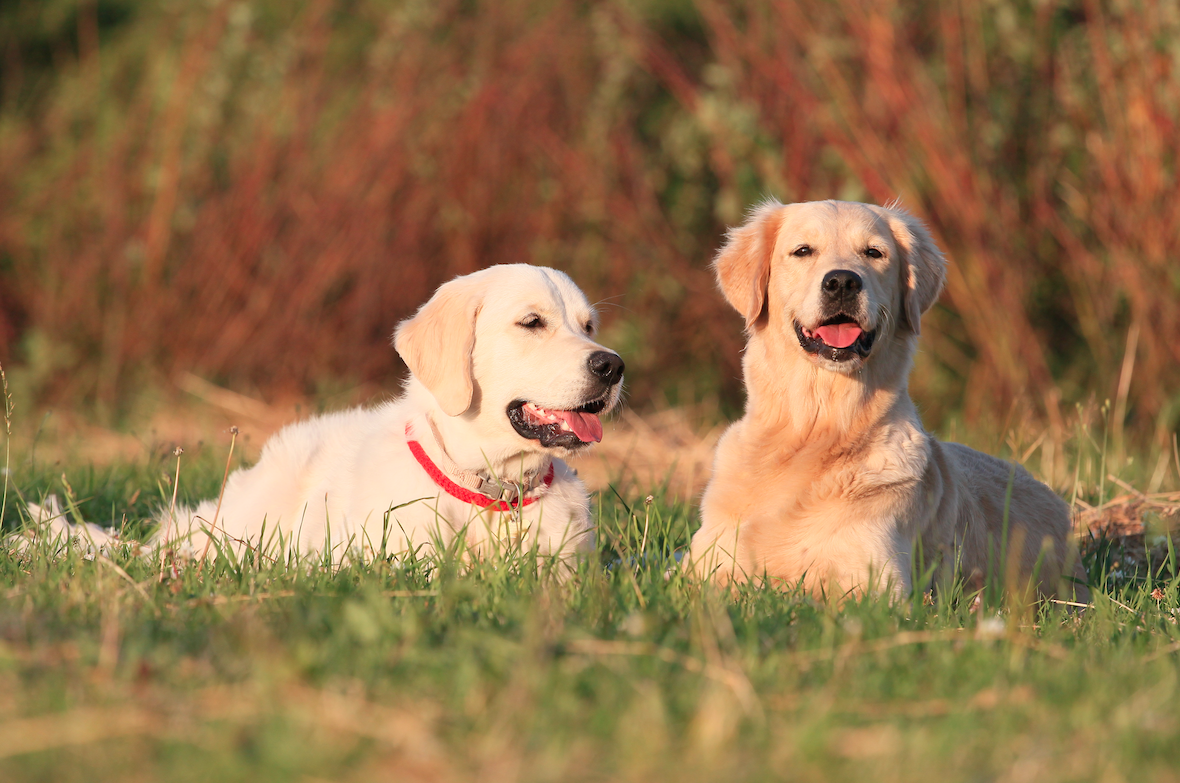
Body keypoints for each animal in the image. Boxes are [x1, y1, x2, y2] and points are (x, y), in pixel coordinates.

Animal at [689, 196, 1085, 599]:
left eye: (873, 252)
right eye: (802, 250)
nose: (843, 281)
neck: (818, 428)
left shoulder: (877, 585)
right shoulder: (705, 565)